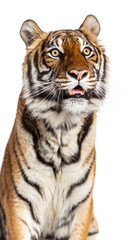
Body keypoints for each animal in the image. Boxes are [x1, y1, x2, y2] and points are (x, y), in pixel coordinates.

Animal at [0, 15, 107, 240]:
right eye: (55, 53)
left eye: (86, 51)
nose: (79, 73)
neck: (62, 126)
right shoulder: (18, 204)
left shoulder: (80, 206)